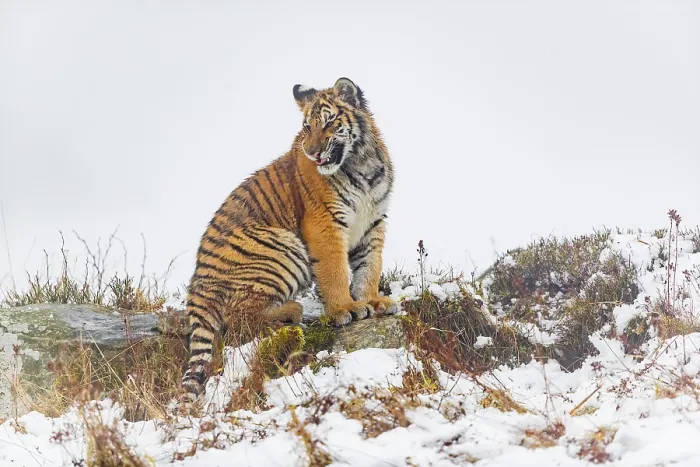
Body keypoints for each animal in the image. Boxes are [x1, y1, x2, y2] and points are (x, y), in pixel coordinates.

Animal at [181, 77, 398, 401]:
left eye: (329, 122)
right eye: (307, 127)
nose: (311, 152)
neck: (360, 162)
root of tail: (196, 289)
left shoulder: (373, 223)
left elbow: (370, 267)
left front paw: (372, 300)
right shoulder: (325, 223)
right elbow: (335, 271)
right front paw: (345, 309)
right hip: (283, 248)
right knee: (237, 319)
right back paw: (292, 310)